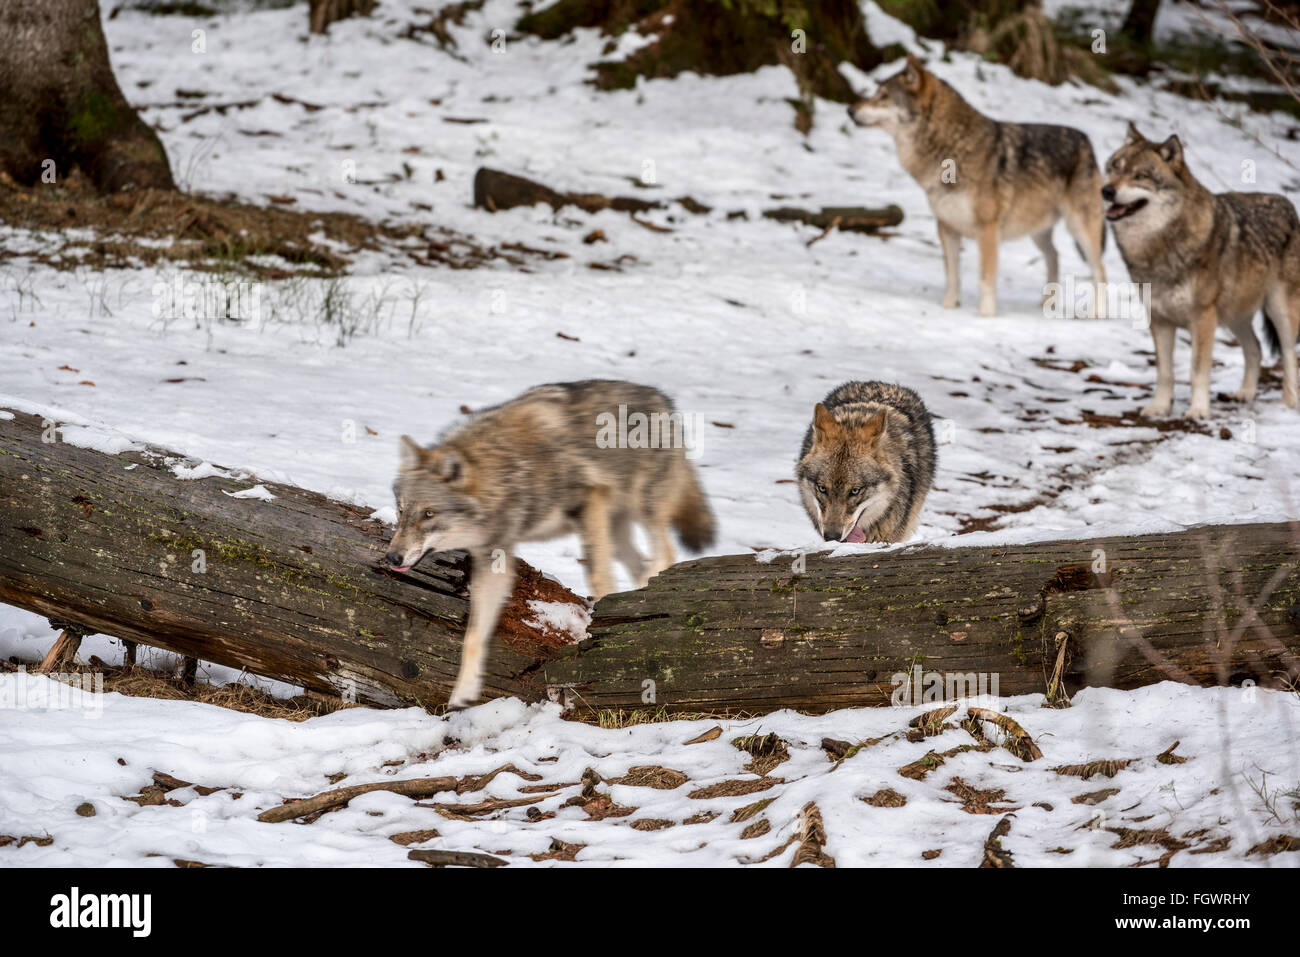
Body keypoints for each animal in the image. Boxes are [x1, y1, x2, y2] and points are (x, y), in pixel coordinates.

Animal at [379, 377, 717, 707]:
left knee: (665, 553)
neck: (505, 471)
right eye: (401, 511)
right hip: (618, 532)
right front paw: (463, 692)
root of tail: (661, 397)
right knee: (640, 566)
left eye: (428, 513)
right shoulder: (495, 558)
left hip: (639, 510)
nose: (392, 558)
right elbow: (473, 635)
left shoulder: (589, 502)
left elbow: (599, 577)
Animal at [852, 54, 1107, 317]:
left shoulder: (987, 230)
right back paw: (1047, 303)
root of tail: (1086, 140)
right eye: (877, 94)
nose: (850, 109)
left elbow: (986, 277)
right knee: (1055, 255)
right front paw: (948, 306)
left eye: (883, 96)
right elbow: (952, 275)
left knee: (1100, 270)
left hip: (1080, 230)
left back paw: (1096, 313)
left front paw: (985, 315)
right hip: (1038, 233)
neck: (952, 148)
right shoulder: (946, 228)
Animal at [1102, 122, 1300, 416]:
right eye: (1114, 168)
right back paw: (1245, 393)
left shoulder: (1203, 318)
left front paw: (1197, 411)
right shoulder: (1159, 320)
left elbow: (1197, 371)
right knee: (1255, 349)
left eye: (1140, 176)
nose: (1106, 190)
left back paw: (1289, 403)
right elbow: (1165, 372)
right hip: (1234, 317)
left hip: (1279, 312)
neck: (1160, 247)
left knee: (1288, 355)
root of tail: (1286, 203)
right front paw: (1160, 407)